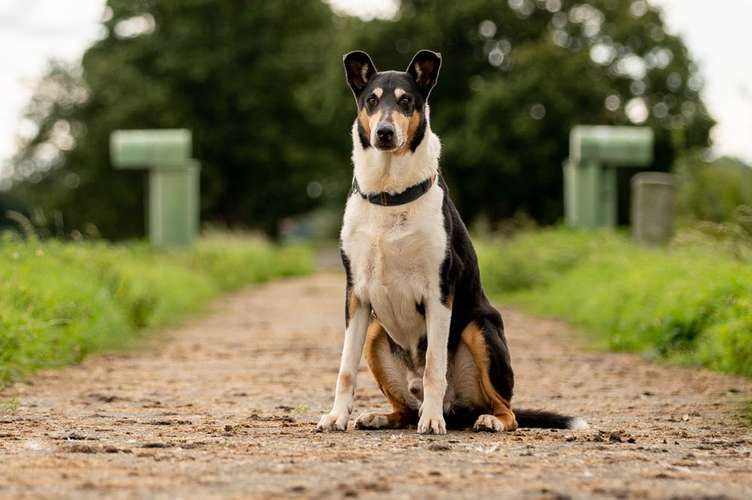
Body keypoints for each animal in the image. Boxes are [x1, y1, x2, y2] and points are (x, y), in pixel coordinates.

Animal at [318, 49, 588, 434]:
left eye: (406, 101)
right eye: (371, 100)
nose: (385, 132)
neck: (391, 195)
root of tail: (459, 409)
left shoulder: (439, 292)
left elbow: (434, 366)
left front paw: (431, 421)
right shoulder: (356, 295)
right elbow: (345, 369)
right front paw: (337, 416)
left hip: (481, 328)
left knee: (507, 410)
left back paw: (481, 419)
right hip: (375, 332)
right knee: (404, 409)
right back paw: (380, 416)